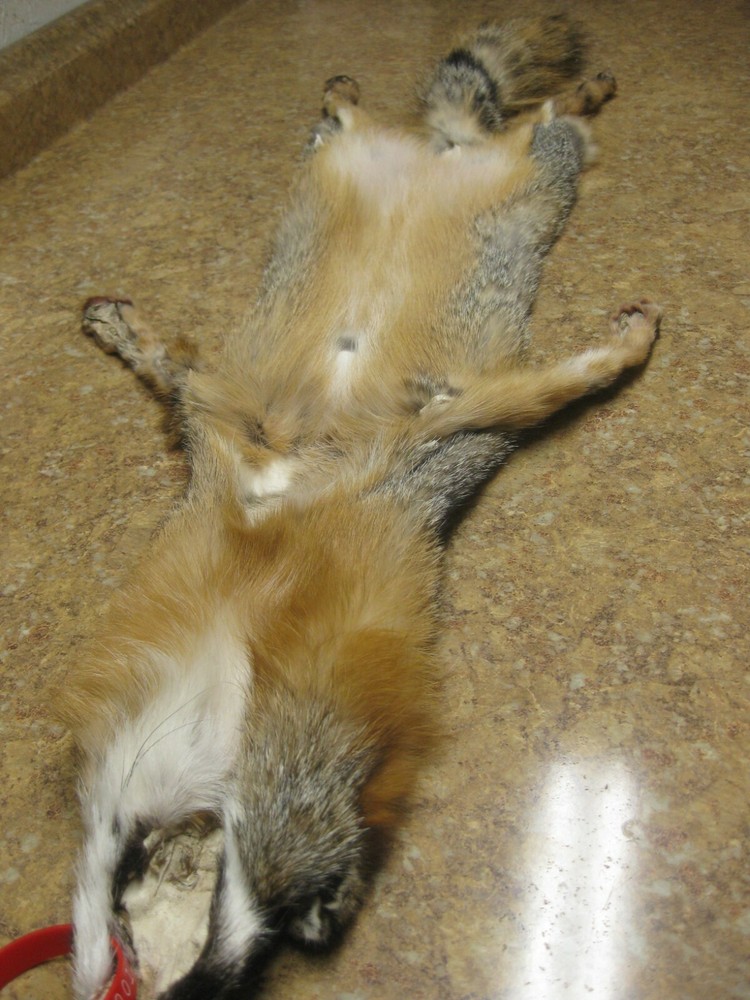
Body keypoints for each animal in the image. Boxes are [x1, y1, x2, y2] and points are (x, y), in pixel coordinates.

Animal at [58, 14, 661, 1000]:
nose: (310, 923)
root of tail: (443, 148)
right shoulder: (213, 413)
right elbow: (164, 360)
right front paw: (120, 326)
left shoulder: (451, 416)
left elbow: (573, 377)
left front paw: (628, 342)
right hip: (381, 160)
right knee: (461, 114)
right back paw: (363, 94)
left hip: (543, 171)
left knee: (541, 119)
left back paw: (569, 88)